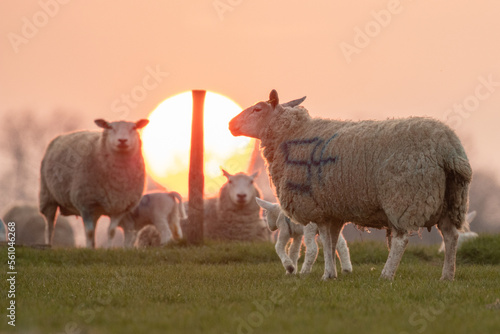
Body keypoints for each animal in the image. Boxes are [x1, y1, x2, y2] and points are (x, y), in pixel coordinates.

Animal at [39, 118, 148, 248]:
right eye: (110, 127)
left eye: (134, 128)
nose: (122, 140)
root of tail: (59, 137)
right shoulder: (85, 203)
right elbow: (89, 232)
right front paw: (89, 248)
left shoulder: (119, 207)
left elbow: (111, 231)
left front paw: (108, 248)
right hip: (48, 196)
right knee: (50, 225)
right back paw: (48, 244)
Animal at [230, 88, 472, 280]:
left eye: (258, 109)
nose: (231, 124)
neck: (291, 134)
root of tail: (447, 147)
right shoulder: (333, 209)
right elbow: (332, 241)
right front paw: (331, 274)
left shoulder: (318, 208)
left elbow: (326, 241)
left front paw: (326, 274)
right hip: (452, 199)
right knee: (451, 236)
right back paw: (447, 276)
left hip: (405, 197)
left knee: (401, 239)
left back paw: (386, 275)